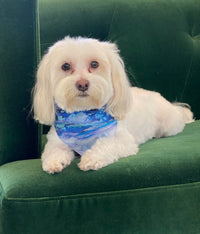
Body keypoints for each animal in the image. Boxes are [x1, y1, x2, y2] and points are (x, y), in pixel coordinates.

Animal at [33, 36, 194, 174]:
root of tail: (173, 105)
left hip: (169, 125)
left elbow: (106, 144)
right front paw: (53, 161)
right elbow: (53, 151)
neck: (83, 115)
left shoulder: (123, 140)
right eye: (65, 66)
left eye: (94, 64)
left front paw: (92, 158)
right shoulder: (56, 141)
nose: (82, 84)